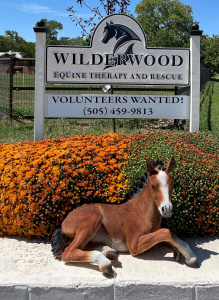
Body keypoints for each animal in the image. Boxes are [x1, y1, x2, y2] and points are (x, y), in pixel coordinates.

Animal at [51, 158, 198, 276]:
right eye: (153, 186)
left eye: (172, 184)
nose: (167, 209)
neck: (142, 212)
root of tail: (64, 222)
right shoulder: (134, 244)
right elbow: (166, 232)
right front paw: (191, 257)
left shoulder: (153, 233)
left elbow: (169, 237)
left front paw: (180, 253)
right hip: (93, 220)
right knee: (68, 252)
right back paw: (105, 263)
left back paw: (109, 252)